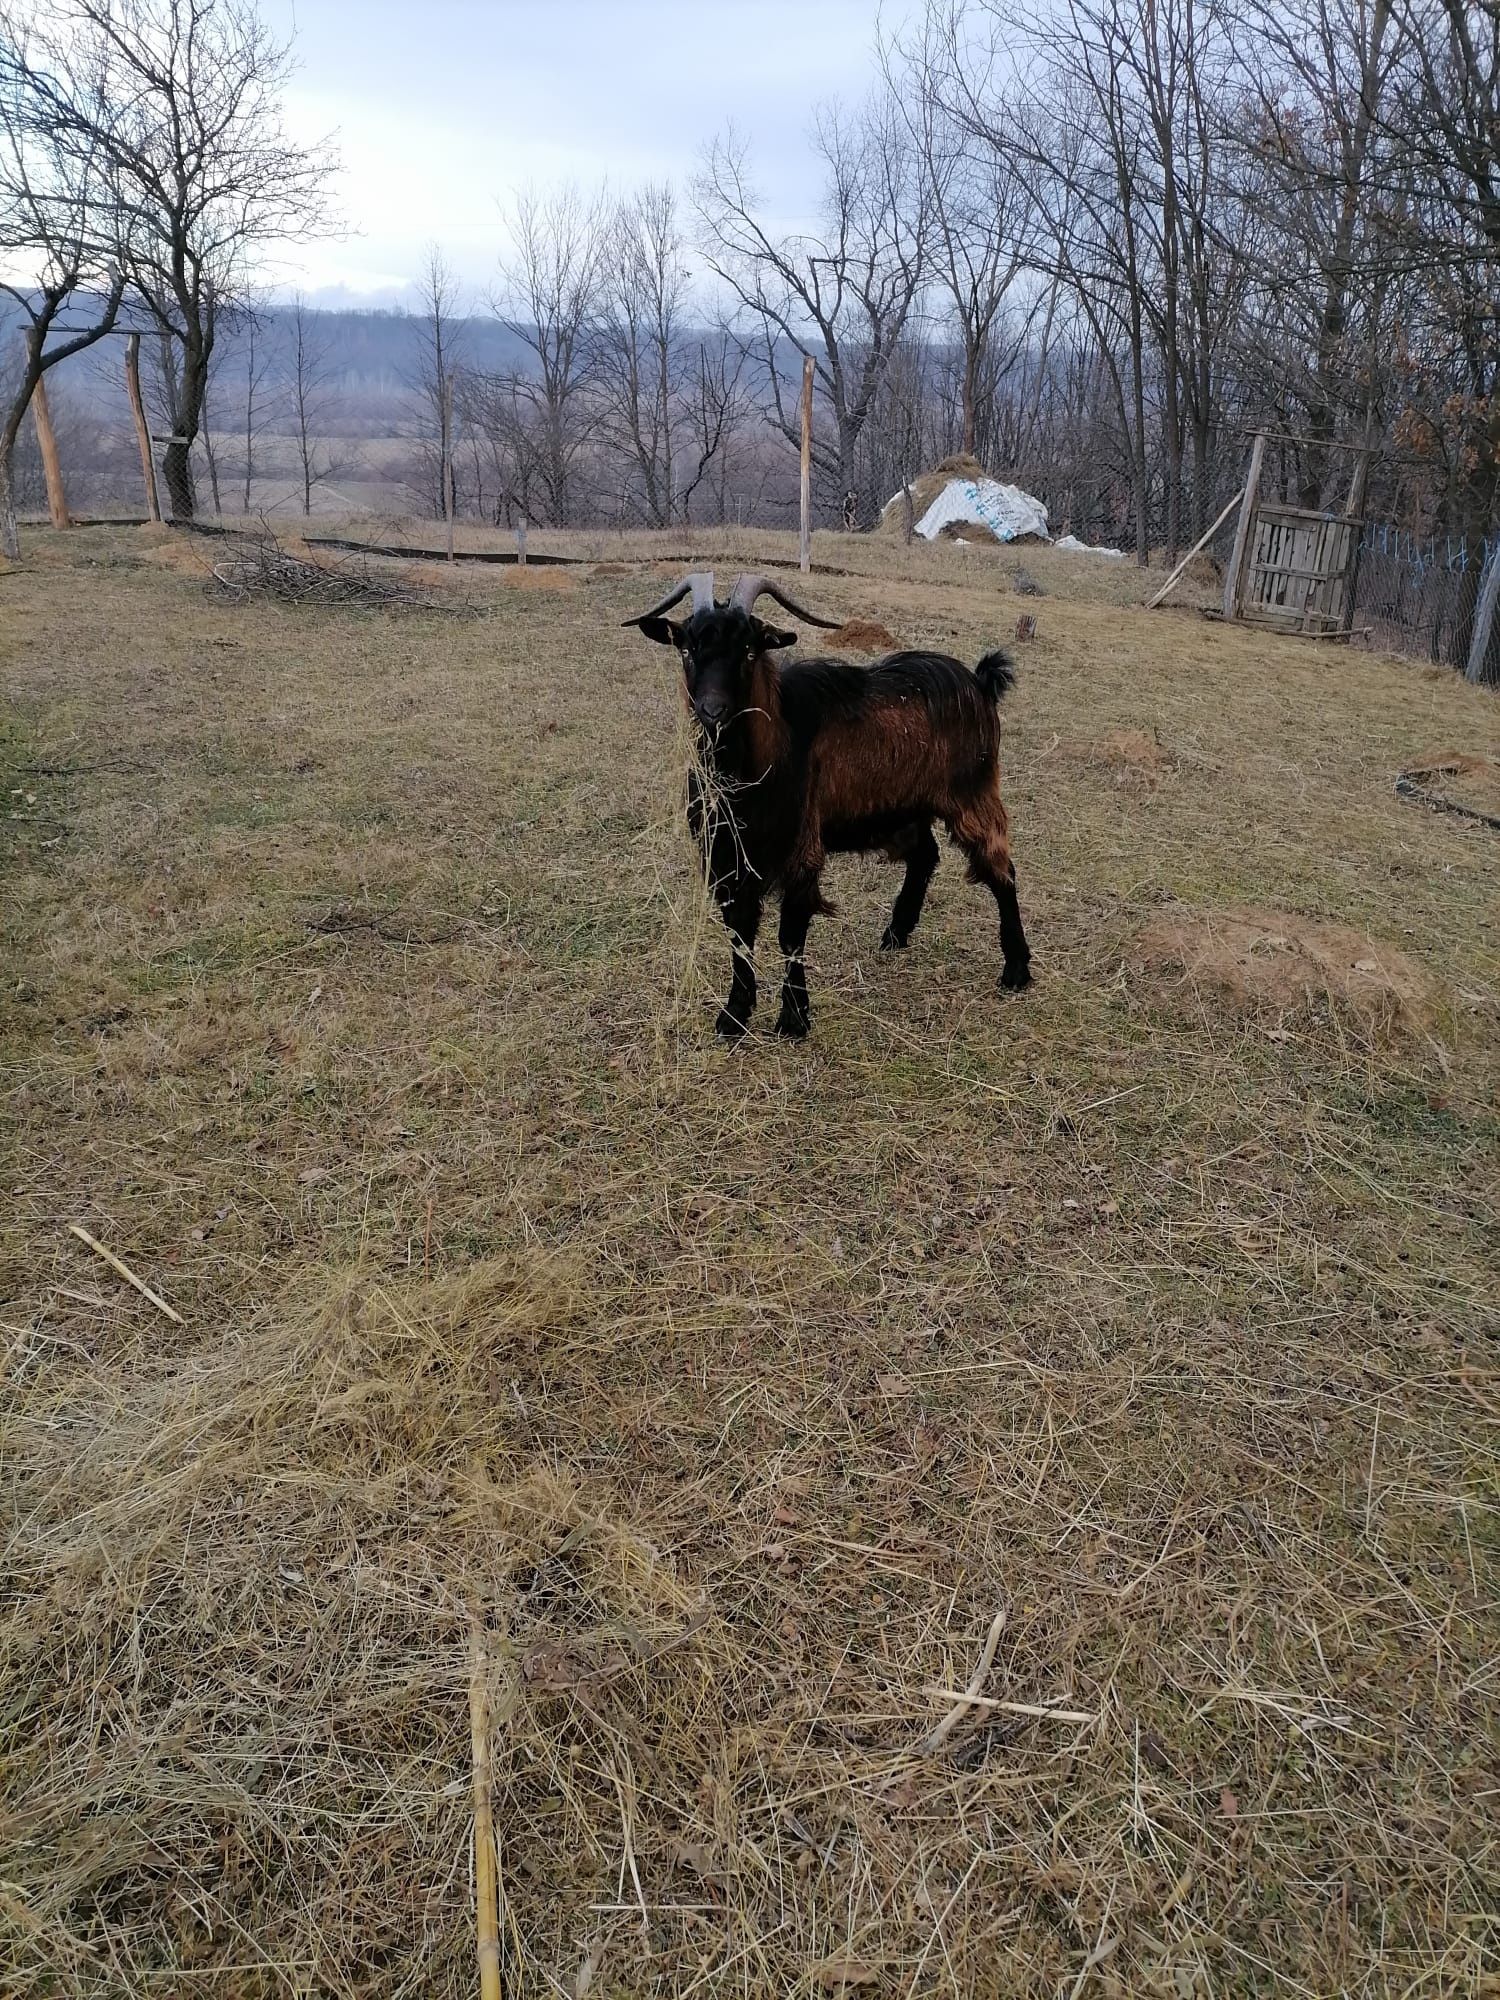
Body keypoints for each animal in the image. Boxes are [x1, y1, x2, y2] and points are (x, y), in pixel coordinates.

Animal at [624, 564, 1032, 1032]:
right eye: (688, 650)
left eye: (748, 650)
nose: (713, 710)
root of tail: (980, 681)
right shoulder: (727, 856)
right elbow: (739, 933)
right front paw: (735, 1014)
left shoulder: (800, 850)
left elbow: (791, 934)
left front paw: (793, 1019)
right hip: (903, 809)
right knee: (926, 856)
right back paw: (896, 933)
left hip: (972, 796)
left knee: (1001, 870)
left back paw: (1017, 969)